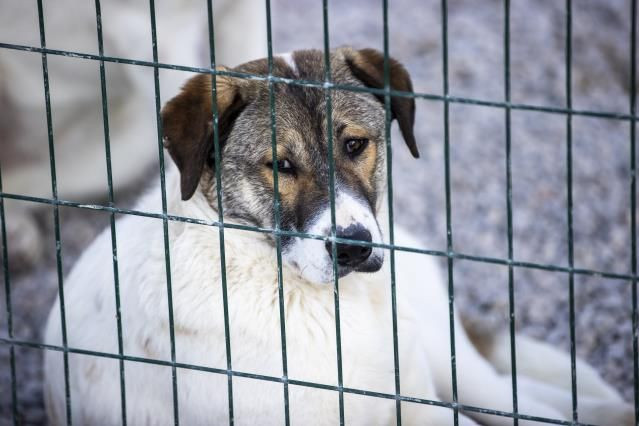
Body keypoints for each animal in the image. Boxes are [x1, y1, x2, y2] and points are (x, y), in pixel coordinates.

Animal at [43, 48, 636, 424]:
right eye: (281, 165)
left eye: (355, 145)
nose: (354, 246)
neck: (326, 309)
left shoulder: (418, 402)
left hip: (443, 352)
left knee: (512, 395)